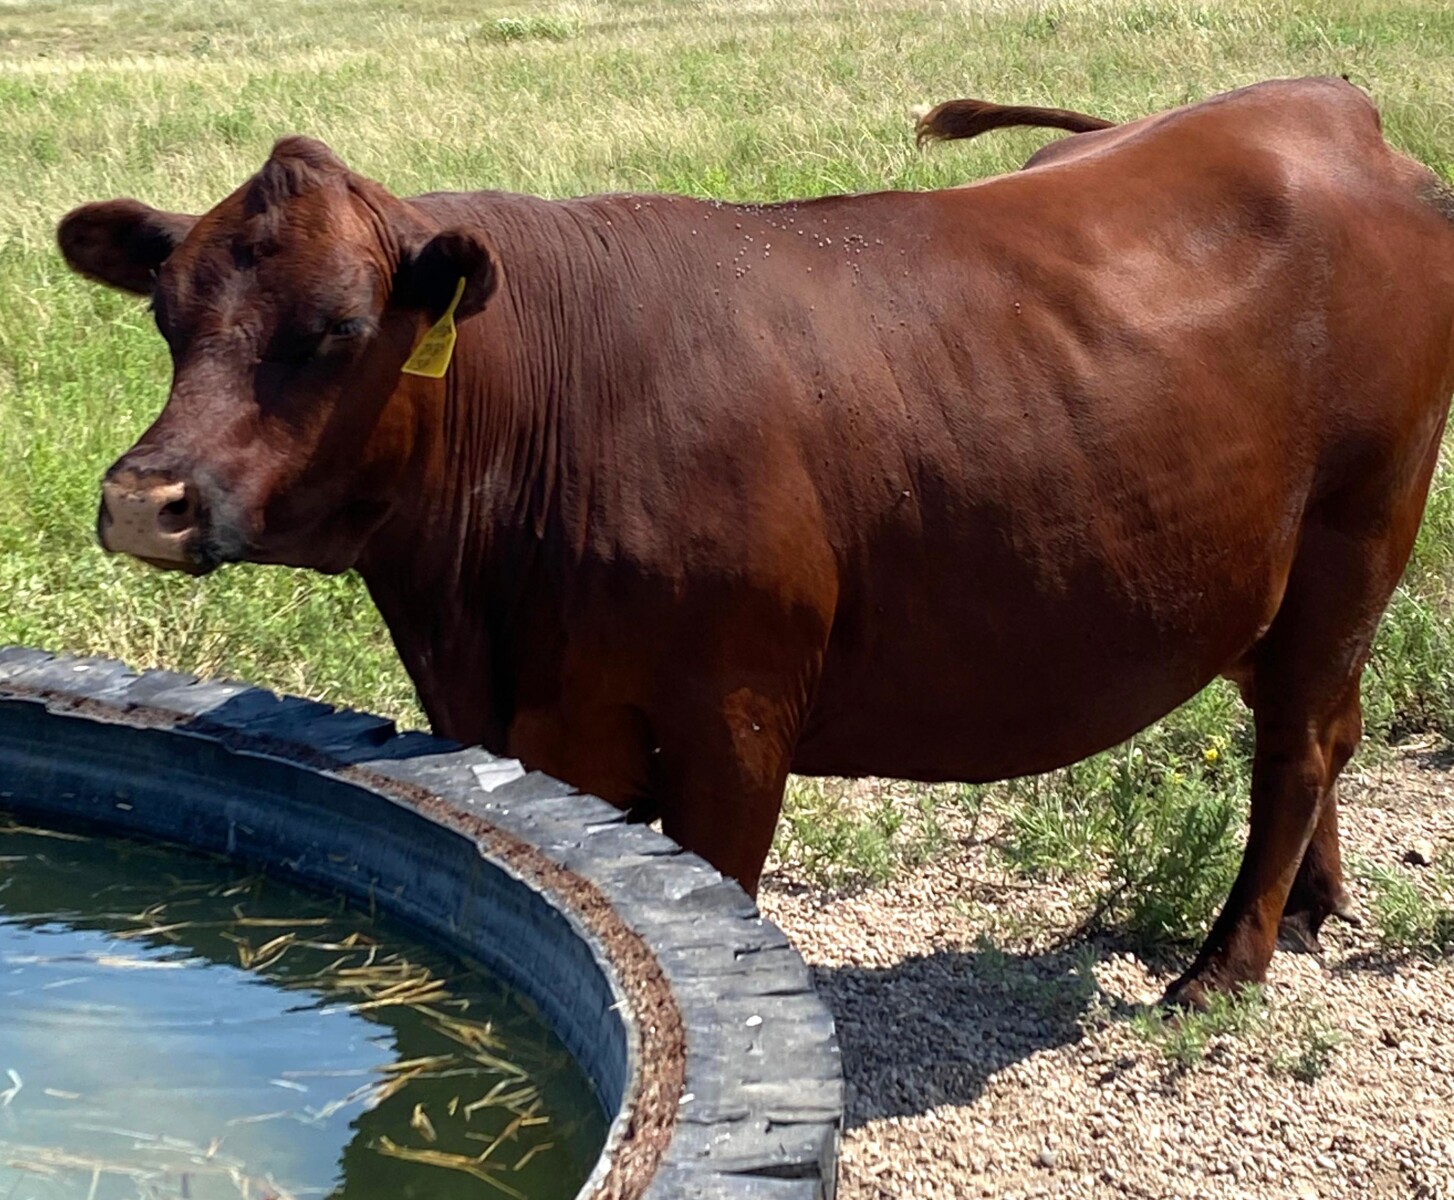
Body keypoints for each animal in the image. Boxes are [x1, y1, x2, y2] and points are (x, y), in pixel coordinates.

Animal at [58, 77, 1454, 1008]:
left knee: (1301, 739)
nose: (144, 497)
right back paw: (1309, 906)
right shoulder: (527, 726)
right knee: (1310, 725)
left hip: (1353, 534)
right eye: (168, 316)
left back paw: (1227, 963)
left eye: (341, 329)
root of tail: (1317, 104)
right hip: (1259, 572)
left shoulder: (730, 721)